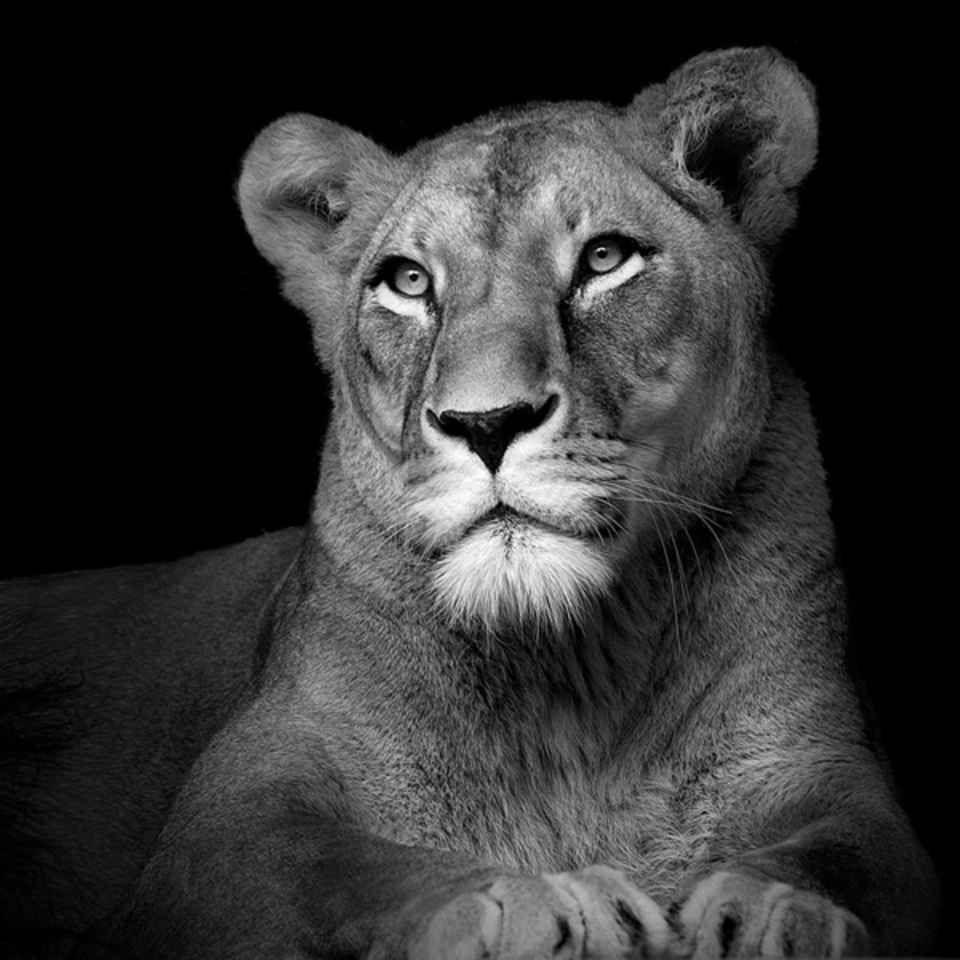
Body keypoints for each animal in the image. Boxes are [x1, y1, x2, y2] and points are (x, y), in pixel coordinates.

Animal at [0, 47, 938, 958]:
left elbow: (853, 859)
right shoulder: (230, 817)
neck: (573, 672)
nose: (486, 423)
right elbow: (351, 868)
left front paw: (776, 913)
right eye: (409, 281)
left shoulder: (826, 768)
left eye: (605, 259)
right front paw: (544, 903)